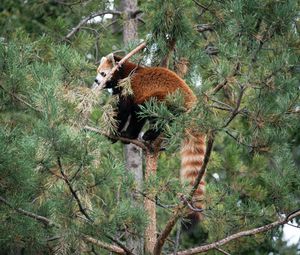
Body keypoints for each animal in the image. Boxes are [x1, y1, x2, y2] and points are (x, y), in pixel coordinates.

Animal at [93, 54, 206, 223]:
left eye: (103, 73)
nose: (96, 81)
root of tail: (191, 101)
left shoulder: (129, 88)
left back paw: (151, 133)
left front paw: (119, 134)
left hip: (165, 98)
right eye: (98, 72)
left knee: (154, 110)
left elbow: (126, 111)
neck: (125, 72)